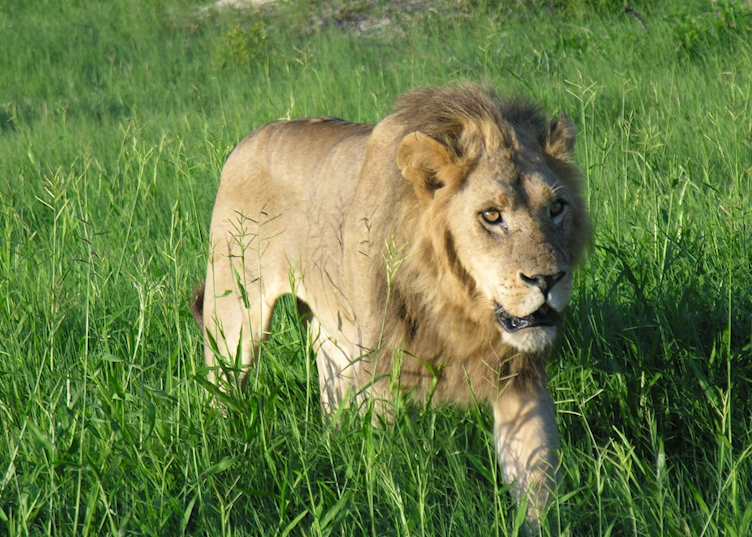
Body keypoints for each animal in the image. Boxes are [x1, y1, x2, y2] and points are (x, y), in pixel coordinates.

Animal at [194, 84, 591, 528]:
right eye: (491, 215)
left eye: (556, 208)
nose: (548, 279)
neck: (456, 304)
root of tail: (251, 137)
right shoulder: (382, 375)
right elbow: (390, 470)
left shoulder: (518, 376)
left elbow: (537, 475)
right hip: (235, 320)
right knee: (221, 390)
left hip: (334, 338)